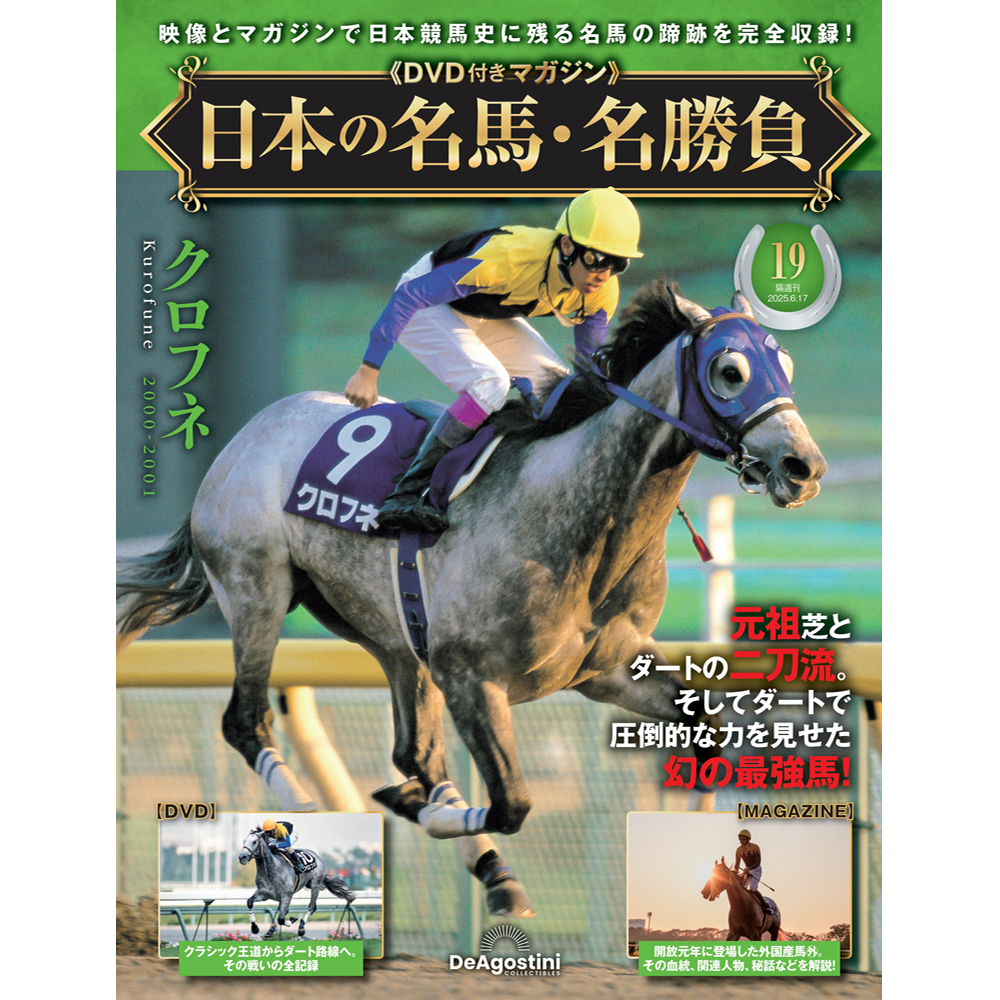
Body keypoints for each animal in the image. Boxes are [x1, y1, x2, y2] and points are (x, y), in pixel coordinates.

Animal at [117, 281, 826, 919]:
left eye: (787, 366)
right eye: (730, 371)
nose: (805, 467)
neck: (578, 514)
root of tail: (245, 435)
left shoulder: (603, 667)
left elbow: (705, 736)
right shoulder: (471, 676)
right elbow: (513, 800)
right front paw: (418, 811)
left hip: (395, 637)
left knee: (414, 751)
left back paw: (485, 866)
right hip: (256, 587)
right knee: (246, 718)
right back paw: (298, 809)